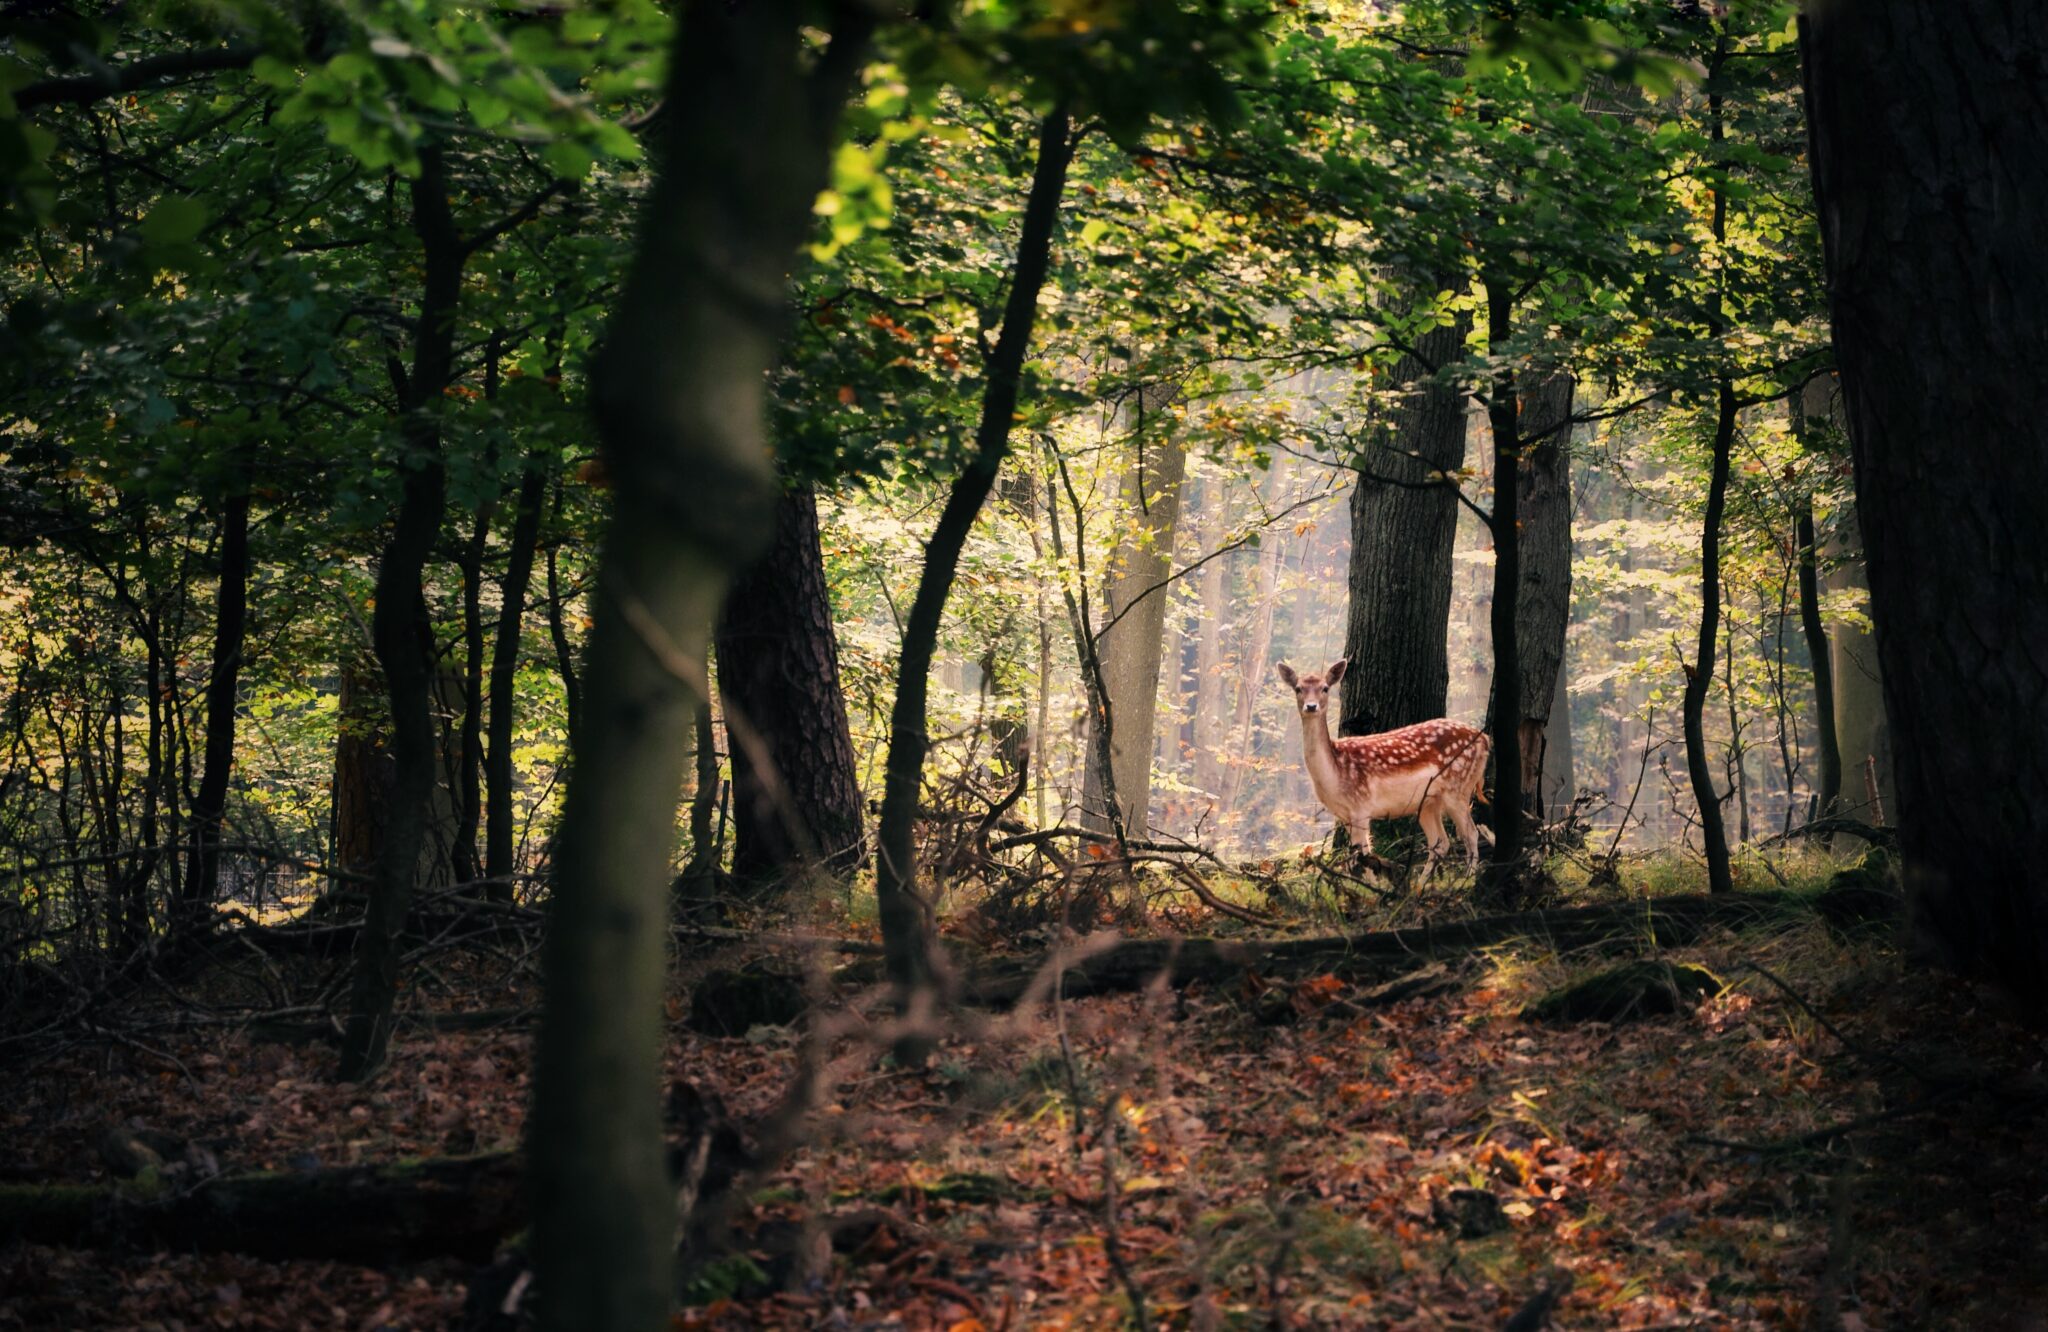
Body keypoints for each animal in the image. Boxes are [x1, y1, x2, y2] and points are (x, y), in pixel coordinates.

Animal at [1277, 655, 1490, 872]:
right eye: (1298, 688)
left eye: (1325, 688)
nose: (1311, 706)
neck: (1334, 774)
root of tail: (1484, 739)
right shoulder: (1345, 815)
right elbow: (1356, 857)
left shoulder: (1361, 806)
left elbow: (1363, 855)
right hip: (1429, 802)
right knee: (1439, 842)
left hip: (1458, 787)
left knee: (1471, 833)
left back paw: (1469, 876)